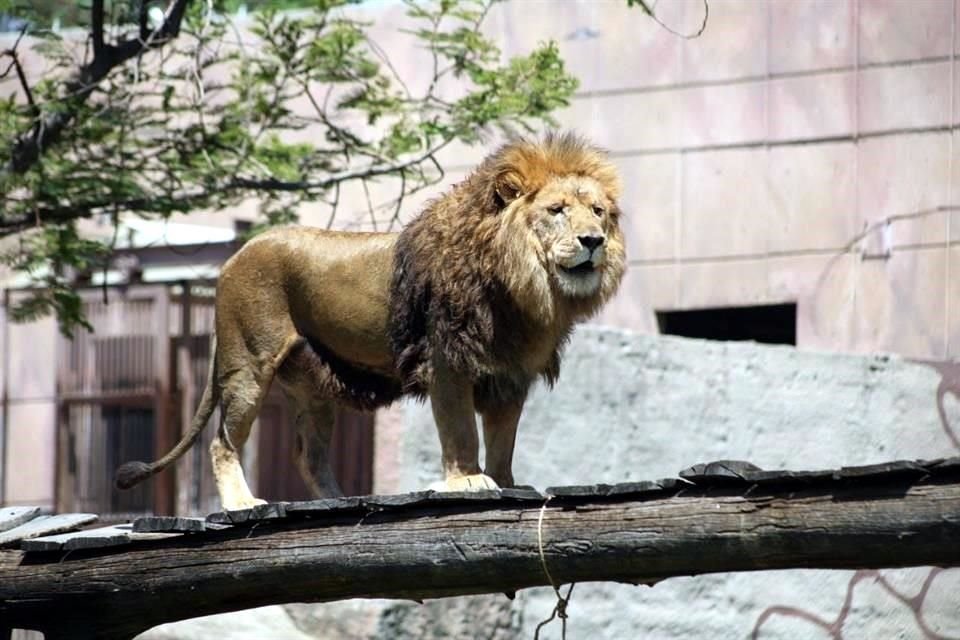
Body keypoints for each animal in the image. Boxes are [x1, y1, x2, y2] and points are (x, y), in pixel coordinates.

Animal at [116, 131, 628, 510]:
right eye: (556, 210)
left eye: (598, 211)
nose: (593, 240)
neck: (521, 288)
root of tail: (233, 257)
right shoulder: (447, 362)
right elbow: (461, 429)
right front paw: (468, 481)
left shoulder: (509, 374)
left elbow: (503, 438)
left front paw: (506, 482)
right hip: (248, 365)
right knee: (222, 441)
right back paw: (243, 503)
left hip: (313, 388)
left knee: (308, 455)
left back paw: (341, 500)